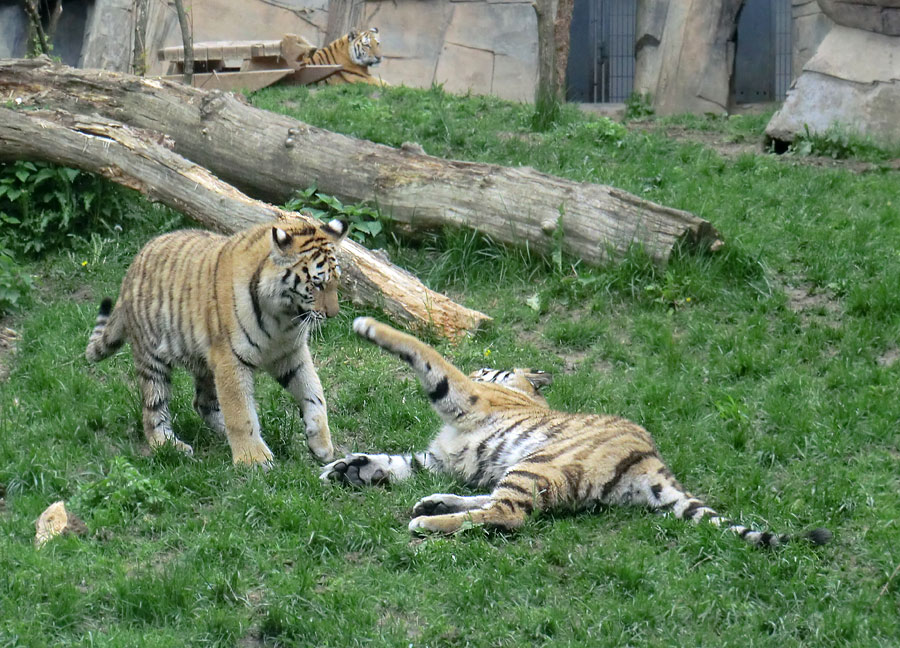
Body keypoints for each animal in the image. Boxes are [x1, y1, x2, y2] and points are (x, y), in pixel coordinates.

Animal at [86, 218, 348, 466]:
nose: (333, 314)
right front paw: (254, 459)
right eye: (316, 284)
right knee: (153, 409)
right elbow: (240, 412)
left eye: (336, 282)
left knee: (203, 403)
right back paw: (168, 445)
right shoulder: (231, 358)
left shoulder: (291, 353)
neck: (283, 318)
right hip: (152, 357)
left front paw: (321, 444)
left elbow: (314, 393)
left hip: (204, 361)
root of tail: (131, 269)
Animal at [320, 318, 832, 548]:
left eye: (487, 369)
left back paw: (427, 522)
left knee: (508, 514)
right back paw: (434, 504)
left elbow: (425, 354)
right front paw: (349, 469)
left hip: (538, 462)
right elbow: (395, 462)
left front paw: (370, 327)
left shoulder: (465, 397)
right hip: (527, 468)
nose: (484, 367)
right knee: (497, 504)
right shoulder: (441, 458)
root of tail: (654, 461)